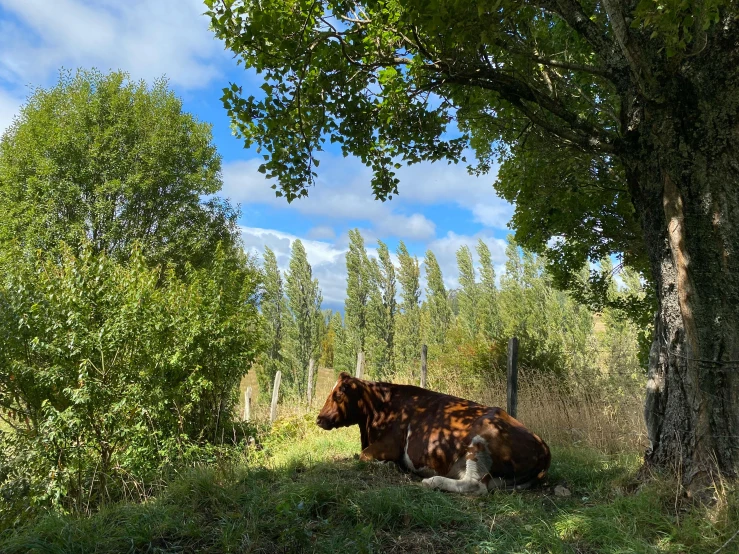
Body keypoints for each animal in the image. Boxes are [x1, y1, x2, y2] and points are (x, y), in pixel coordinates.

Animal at [316, 370, 552, 492]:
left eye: (338, 394)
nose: (319, 418)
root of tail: (543, 445)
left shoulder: (390, 444)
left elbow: (363, 456)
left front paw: (389, 465)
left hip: (480, 439)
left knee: (475, 485)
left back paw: (432, 481)